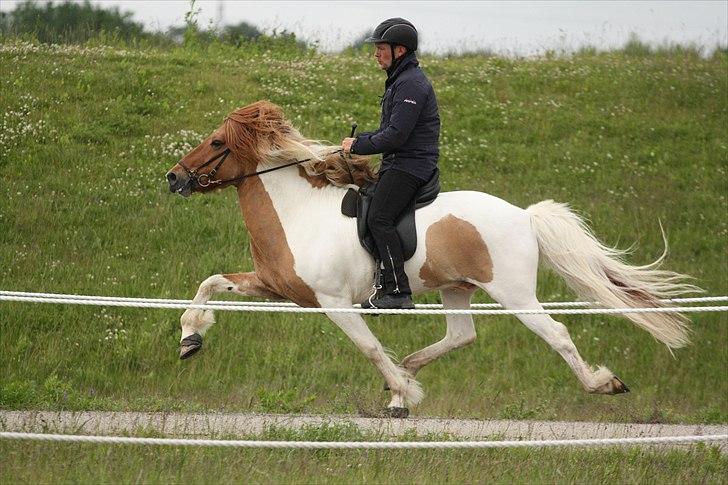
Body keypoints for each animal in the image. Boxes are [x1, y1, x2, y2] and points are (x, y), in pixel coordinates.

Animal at [165, 99, 692, 416]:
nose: (174, 177)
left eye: (217, 143)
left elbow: (369, 347)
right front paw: (190, 338)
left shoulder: (335, 303)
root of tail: (524, 215)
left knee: (556, 334)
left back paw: (603, 384)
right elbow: (211, 282)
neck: (298, 212)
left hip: (514, 292)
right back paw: (409, 371)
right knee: (461, 335)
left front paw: (402, 391)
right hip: (457, 289)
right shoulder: (276, 286)